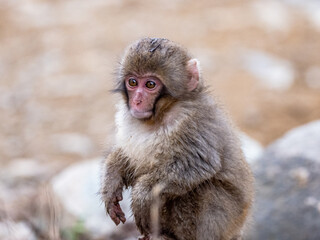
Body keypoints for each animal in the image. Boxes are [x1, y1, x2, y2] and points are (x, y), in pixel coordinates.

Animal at [100, 38, 255, 240]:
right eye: (133, 82)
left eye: (150, 85)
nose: (137, 101)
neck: (160, 115)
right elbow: (127, 158)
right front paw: (111, 177)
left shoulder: (194, 124)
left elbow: (197, 166)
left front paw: (141, 195)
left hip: (225, 223)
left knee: (203, 189)